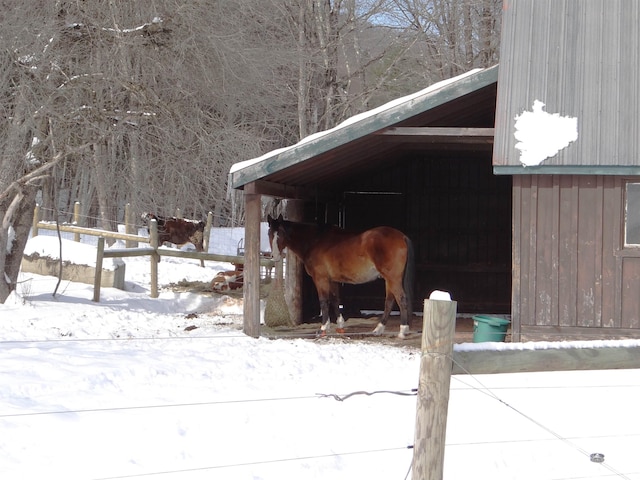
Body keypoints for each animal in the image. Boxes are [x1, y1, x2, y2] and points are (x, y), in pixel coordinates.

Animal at [266, 216, 412, 340]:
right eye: (269, 233)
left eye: (281, 233)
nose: (275, 256)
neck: (315, 240)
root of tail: (402, 236)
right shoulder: (332, 280)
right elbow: (335, 300)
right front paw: (340, 326)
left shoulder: (321, 279)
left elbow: (324, 301)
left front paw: (323, 328)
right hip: (389, 280)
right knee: (389, 301)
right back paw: (379, 329)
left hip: (393, 278)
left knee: (401, 299)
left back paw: (402, 331)